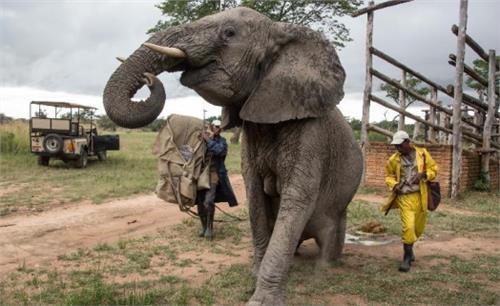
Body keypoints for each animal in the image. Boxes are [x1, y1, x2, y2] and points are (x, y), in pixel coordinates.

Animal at [103, 6, 364, 304]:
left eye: (229, 33)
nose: (149, 79)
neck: (280, 30)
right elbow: (255, 197)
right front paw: (255, 274)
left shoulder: (311, 133)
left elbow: (297, 198)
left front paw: (262, 299)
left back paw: (326, 265)